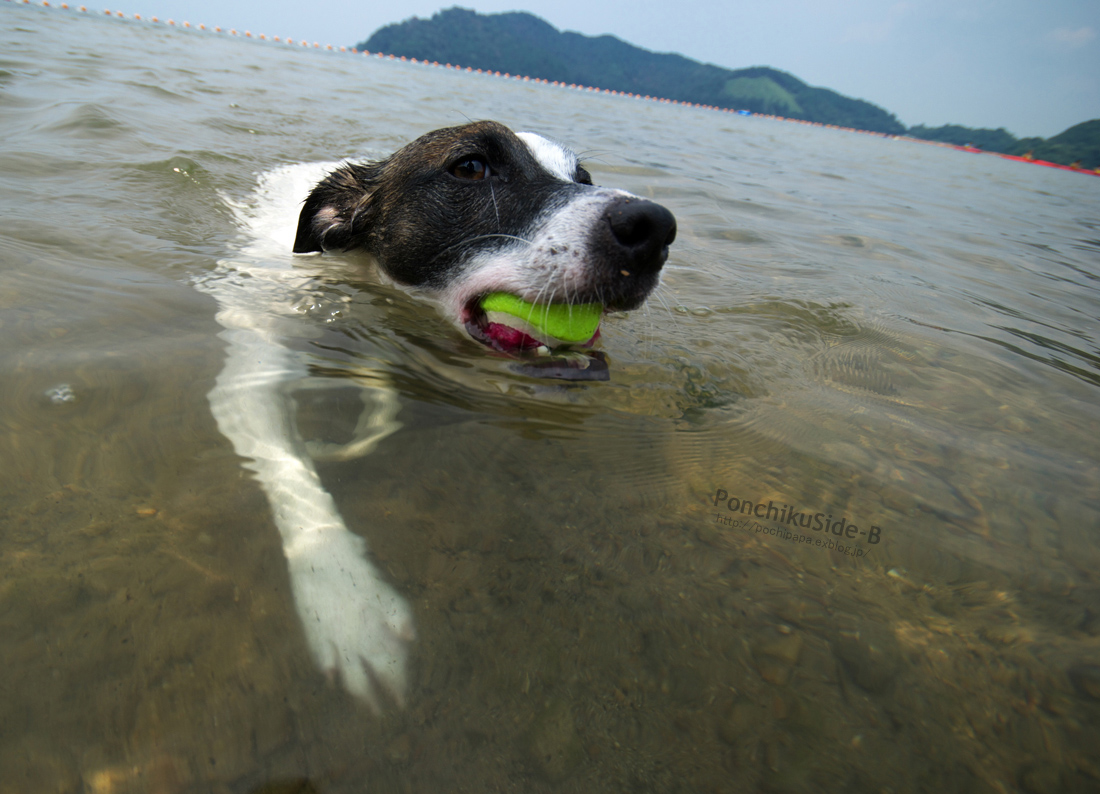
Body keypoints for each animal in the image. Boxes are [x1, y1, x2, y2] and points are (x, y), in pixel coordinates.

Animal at [202, 120, 673, 708]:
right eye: (469, 166)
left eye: (582, 177)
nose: (655, 227)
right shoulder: (249, 376)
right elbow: (294, 478)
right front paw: (346, 602)